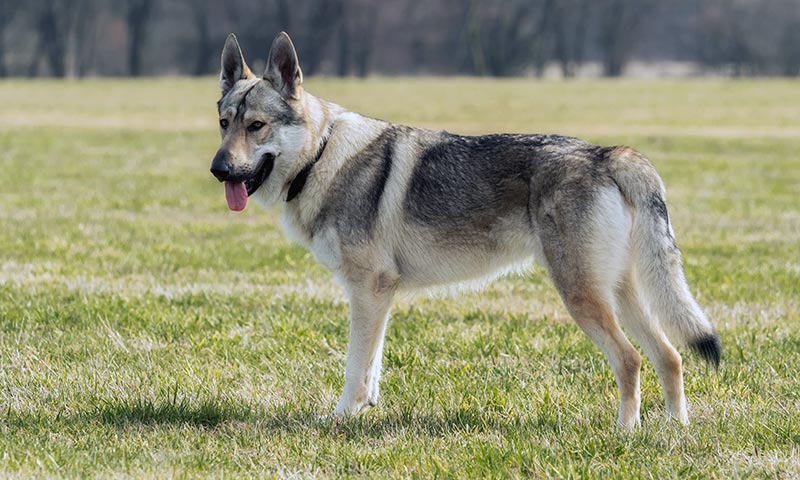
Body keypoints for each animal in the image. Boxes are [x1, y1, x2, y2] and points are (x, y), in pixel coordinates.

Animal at [209, 33, 720, 432]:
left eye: (257, 126)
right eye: (224, 123)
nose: (218, 170)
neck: (321, 156)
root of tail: (608, 153)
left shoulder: (368, 289)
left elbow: (355, 368)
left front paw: (338, 420)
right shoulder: (378, 294)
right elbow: (372, 366)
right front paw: (365, 410)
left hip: (582, 297)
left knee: (631, 359)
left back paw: (625, 433)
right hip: (621, 293)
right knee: (670, 356)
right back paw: (674, 431)